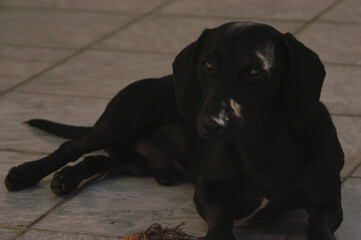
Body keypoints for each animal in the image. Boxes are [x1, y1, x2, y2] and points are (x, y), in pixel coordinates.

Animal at [5, 22, 344, 240]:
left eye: (254, 70)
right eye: (207, 64)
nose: (210, 124)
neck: (260, 146)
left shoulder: (330, 205)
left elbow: (318, 226)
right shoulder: (206, 190)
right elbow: (220, 218)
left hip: (136, 161)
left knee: (99, 160)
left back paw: (68, 177)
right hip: (119, 122)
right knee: (72, 146)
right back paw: (25, 174)